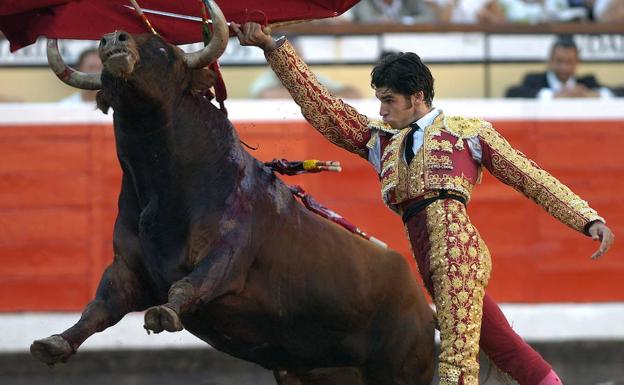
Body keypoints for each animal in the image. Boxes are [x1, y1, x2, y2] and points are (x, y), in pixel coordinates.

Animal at [29, 1, 434, 382]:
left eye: (162, 49)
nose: (113, 40)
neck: (161, 190)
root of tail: (423, 305)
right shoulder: (127, 269)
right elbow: (99, 306)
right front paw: (53, 343)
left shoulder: (229, 252)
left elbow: (192, 282)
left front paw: (163, 314)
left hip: (401, 369)